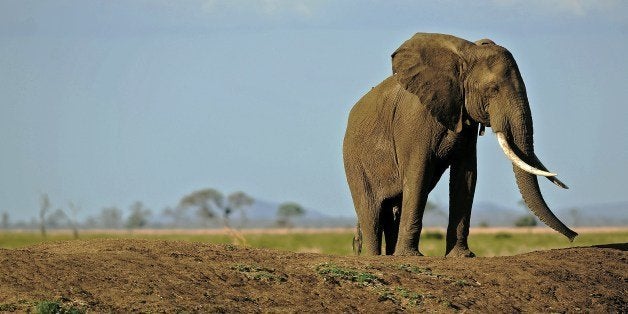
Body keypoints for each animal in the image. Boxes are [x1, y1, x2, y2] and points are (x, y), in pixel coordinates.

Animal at [344, 32, 580, 258]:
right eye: (493, 89)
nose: (574, 236)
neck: (465, 54)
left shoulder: (466, 120)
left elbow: (466, 175)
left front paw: (463, 256)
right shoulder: (414, 121)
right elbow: (418, 175)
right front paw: (411, 256)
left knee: (393, 207)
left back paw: (390, 255)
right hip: (354, 160)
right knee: (371, 209)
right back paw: (376, 256)